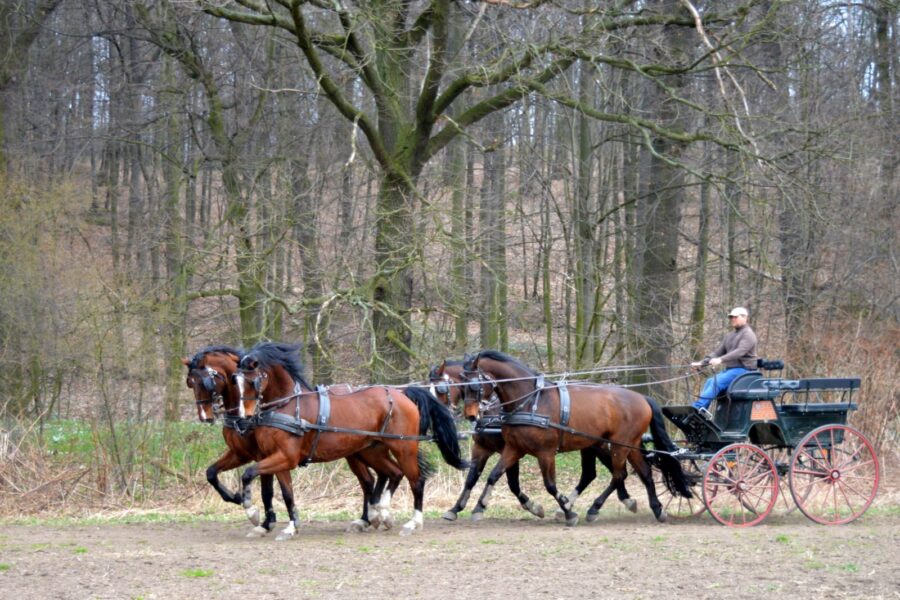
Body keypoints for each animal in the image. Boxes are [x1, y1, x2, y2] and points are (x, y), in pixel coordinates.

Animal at [232, 342, 472, 540]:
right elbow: (286, 493)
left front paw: (251, 511)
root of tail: (402, 394)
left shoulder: (286, 457)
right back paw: (380, 513)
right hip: (371, 450)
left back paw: (412, 522)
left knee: (416, 480)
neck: (287, 407)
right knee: (393, 473)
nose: (243, 416)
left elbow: (249, 473)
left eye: (253, 380)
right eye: (236, 381)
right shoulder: (277, 458)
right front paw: (290, 527)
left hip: (404, 448)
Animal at [428, 360, 640, 520]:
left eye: (441, 389)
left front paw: (533, 506)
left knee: (614, 472)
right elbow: (473, 479)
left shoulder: (511, 450)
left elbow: (512, 483)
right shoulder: (482, 448)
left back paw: (613, 502)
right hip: (593, 444)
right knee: (597, 473)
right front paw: (456, 509)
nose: (471, 416)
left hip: (602, 444)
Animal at [460, 352, 692, 524]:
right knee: (643, 474)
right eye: (461, 385)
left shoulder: (545, 453)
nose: (470, 415)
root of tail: (643, 397)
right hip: (628, 445)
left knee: (618, 475)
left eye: (473, 385)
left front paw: (568, 512)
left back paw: (594, 508)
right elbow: (493, 475)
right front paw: (478, 508)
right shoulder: (514, 448)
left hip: (619, 446)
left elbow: (550, 485)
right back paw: (657, 509)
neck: (531, 402)